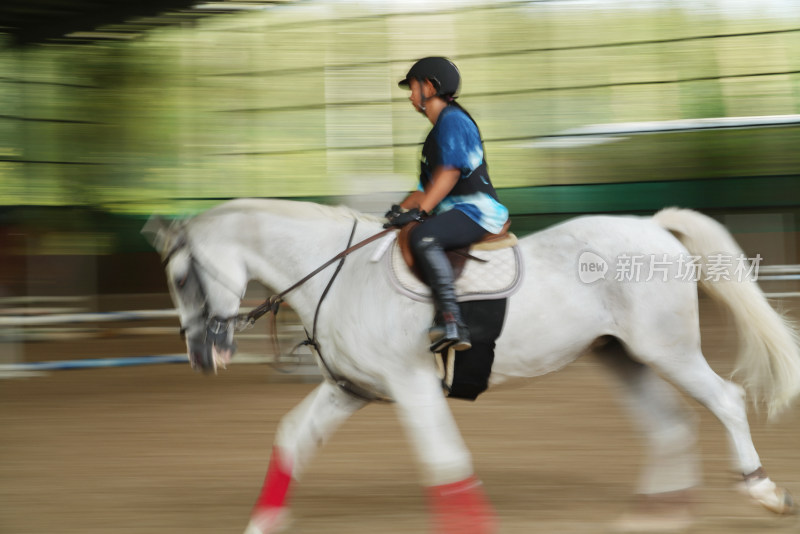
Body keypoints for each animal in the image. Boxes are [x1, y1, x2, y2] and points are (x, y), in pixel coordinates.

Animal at [144, 200, 800, 534]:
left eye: (181, 277)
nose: (203, 357)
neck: (340, 273)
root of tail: (652, 226)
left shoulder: (412, 385)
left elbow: (445, 466)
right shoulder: (350, 390)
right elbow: (292, 440)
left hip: (668, 350)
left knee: (724, 400)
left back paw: (762, 489)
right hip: (622, 358)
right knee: (668, 425)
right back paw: (654, 517)